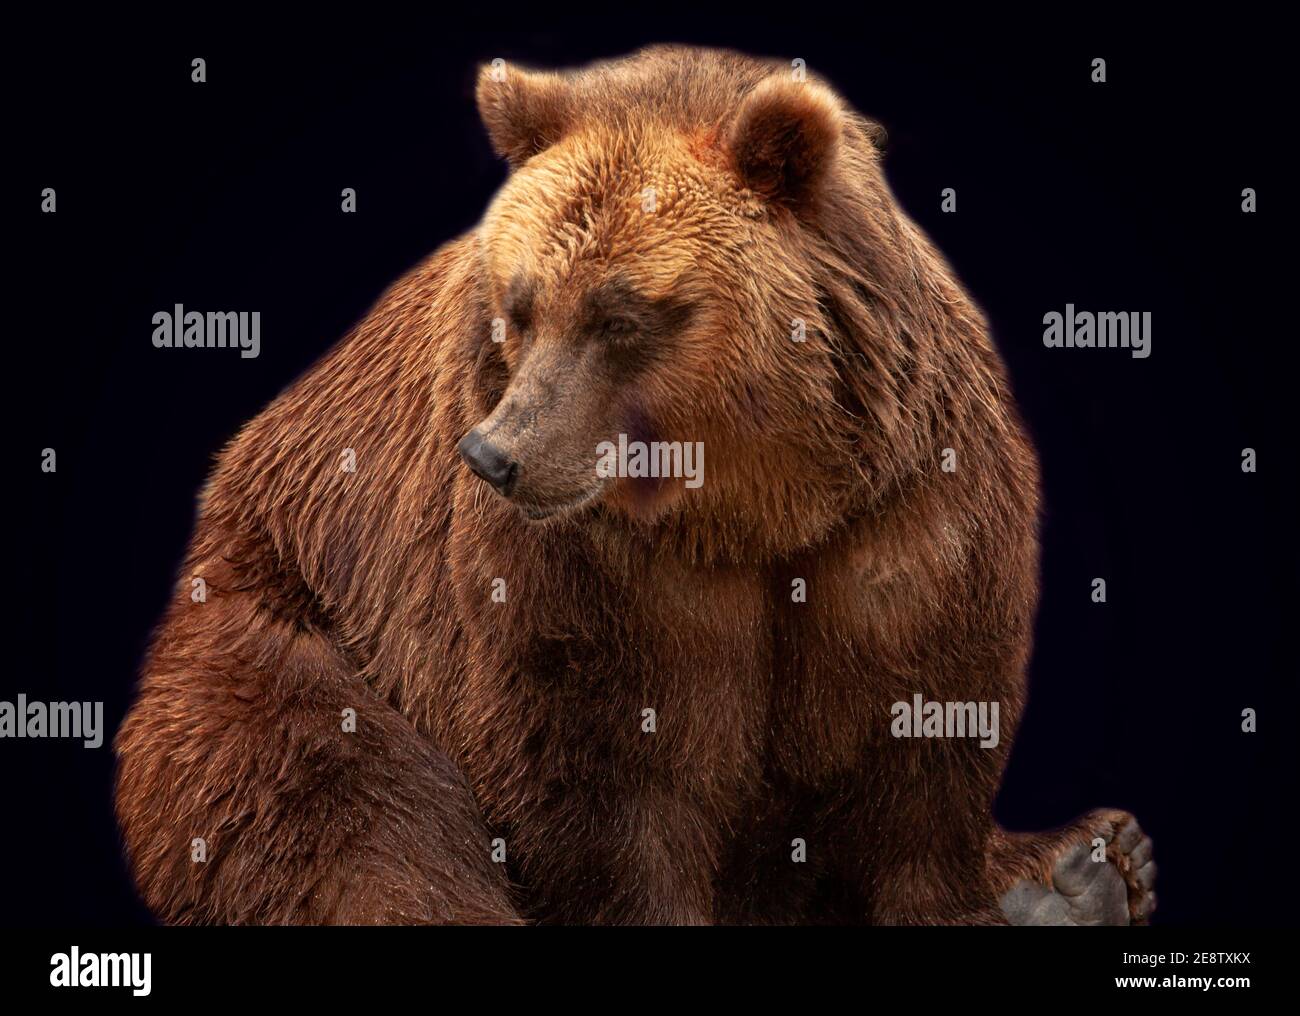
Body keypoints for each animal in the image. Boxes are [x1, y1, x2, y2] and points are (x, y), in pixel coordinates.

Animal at [114, 45, 1156, 925]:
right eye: (520, 304)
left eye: (620, 316)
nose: (494, 455)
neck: (752, 508)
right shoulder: (584, 576)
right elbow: (604, 787)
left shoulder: (905, 522)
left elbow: (919, 745)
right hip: (280, 627)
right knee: (349, 810)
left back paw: (1085, 869)